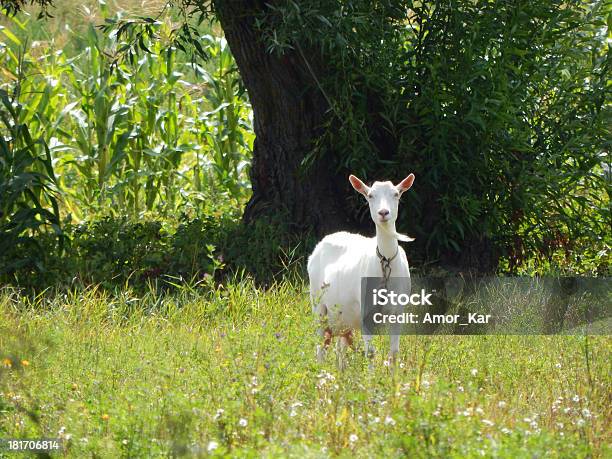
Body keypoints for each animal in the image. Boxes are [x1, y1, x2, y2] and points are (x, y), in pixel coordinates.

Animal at [306, 172, 416, 362]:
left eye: (396, 194)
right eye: (370, 195)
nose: (383, 212)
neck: (386, 262)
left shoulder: (398, 312)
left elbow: (394, 353)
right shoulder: (366, 311)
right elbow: (370, 353)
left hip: (343, 315)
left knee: (340, 349)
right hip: (317, 303)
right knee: (321, 345)